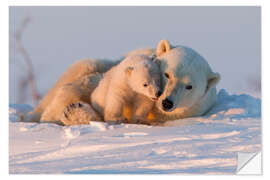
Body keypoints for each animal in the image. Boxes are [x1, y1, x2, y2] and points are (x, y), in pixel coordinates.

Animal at [20, 39, 219, 125]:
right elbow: (92, 86)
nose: (167, 102)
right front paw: (64, 112)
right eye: (167, 74)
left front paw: (73, 112)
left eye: (189, 86)